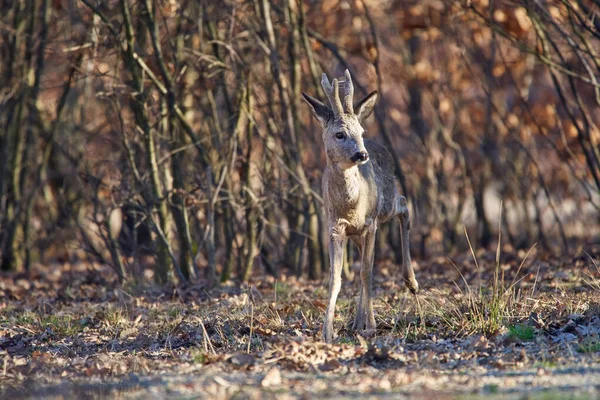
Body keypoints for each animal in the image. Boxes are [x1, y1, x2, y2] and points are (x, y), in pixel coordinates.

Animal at [302, 69, 420, 344]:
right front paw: (327, 332)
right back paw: (356, 322)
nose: (361, 155)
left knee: (404, 205)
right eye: (339, 134)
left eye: (361, 131)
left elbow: (367, 271)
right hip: (356, 234)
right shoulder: (335, 229)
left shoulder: (371, 223)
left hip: (386, 204)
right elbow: (336, 278)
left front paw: (372, 325)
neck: (351, 205)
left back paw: (411, 282)